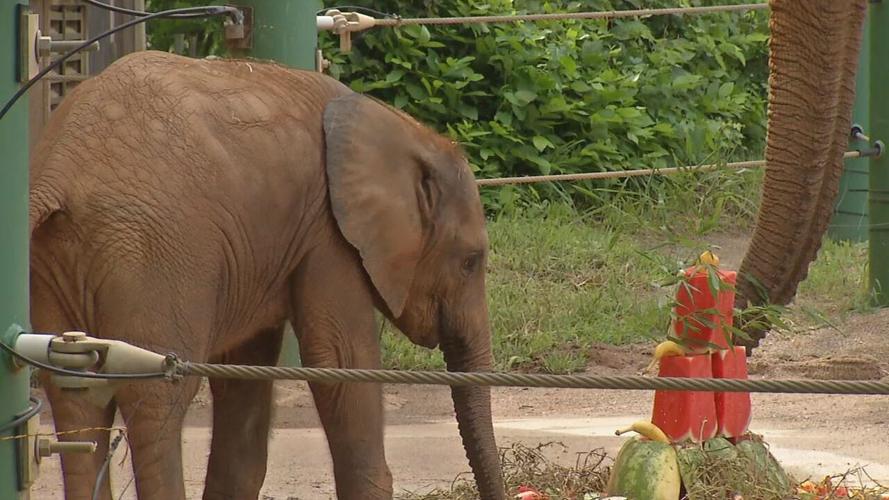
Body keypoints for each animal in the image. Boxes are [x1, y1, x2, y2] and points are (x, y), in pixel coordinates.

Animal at [29, 50, 504, 499]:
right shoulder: (328, 234)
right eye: (470, 261)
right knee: (156, 399)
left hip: (64, 264)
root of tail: (59, 168)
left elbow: (244, 375)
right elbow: (341, 358)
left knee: (75, 395)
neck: (404, 132)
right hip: (152, 255)